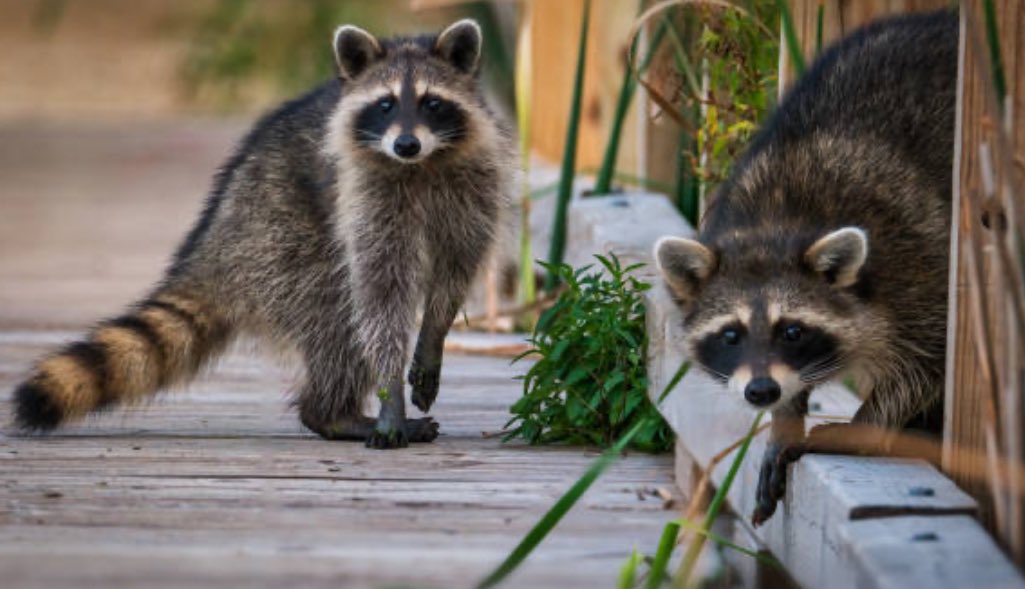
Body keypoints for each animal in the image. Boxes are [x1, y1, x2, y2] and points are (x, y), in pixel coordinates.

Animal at [12, 19, 516, 449]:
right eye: (386, 103)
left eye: (432, 102)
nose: (405, 144)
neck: (421, 164)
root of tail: (215, 241)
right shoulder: (364, 195)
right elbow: (380, 296)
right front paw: (390, 392)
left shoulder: (477, 183)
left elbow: (455, 270)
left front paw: (432, 338)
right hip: (283, 239)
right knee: (337, 320)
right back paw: (333, 414)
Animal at [654, 11, 957, 524]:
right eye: (730, 334)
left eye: (793, 331)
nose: (761, 392)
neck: (777, 221)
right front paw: (785, 418)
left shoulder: (917, 265)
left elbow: (924, 365)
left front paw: (864, 426)